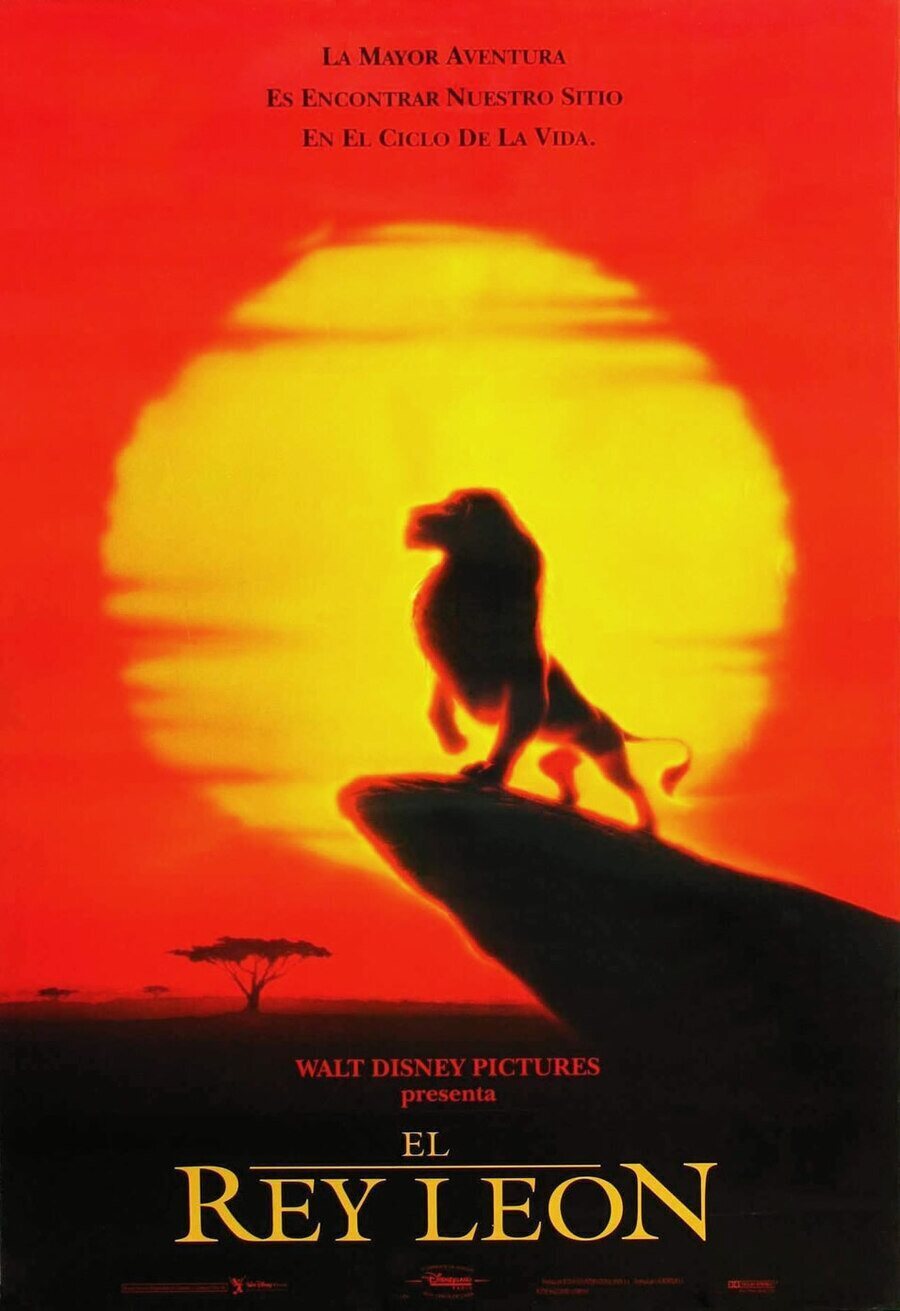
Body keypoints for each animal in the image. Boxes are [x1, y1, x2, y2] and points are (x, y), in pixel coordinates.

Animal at [405, 488, 691, 833]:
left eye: (454, 508)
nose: (413, 515)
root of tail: (616, 725)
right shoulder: (449, 669)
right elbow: (438, 707)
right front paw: (454, 743)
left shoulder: (524, 697)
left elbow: (507, 740)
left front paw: (487, 773)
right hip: (559, 756)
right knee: (562, 771)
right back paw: (565, 801)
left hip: (608, 758)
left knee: (634, 787)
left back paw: (647, 826)